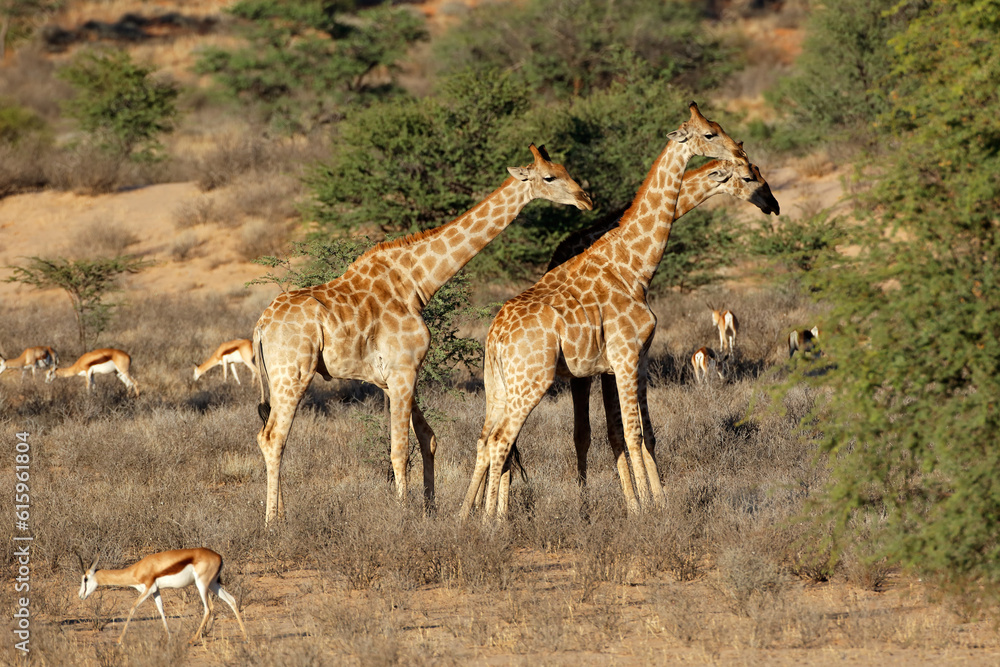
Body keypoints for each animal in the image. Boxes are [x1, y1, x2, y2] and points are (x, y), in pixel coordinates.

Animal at [253, 145, 592, 524]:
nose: (586, 199)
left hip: (282, 376)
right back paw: (272, 522)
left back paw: (279, 514)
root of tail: (261, 327)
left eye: (566, 170)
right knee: (273, 437)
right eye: (550, 177)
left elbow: (427, 438)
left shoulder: (397, 375)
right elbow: (399, 449)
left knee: (271, 435)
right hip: (293, 373)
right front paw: (403, 514)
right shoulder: (402, 370)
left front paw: (429, 508)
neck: (416, 282)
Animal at [459, 103, 777, 520]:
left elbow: (642, 434)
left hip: (498, 385)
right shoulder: (623, 358)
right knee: (502, 441)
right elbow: (629, 433)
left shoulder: (633, 360)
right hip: (532, 381)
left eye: (719, 127)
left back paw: (468, 517)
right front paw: (644, 510)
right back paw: (494, 522)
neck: (634, 264)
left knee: (486, 440)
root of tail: (494, 336)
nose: (773, 204)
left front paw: (655, 502)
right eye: (710, 135)